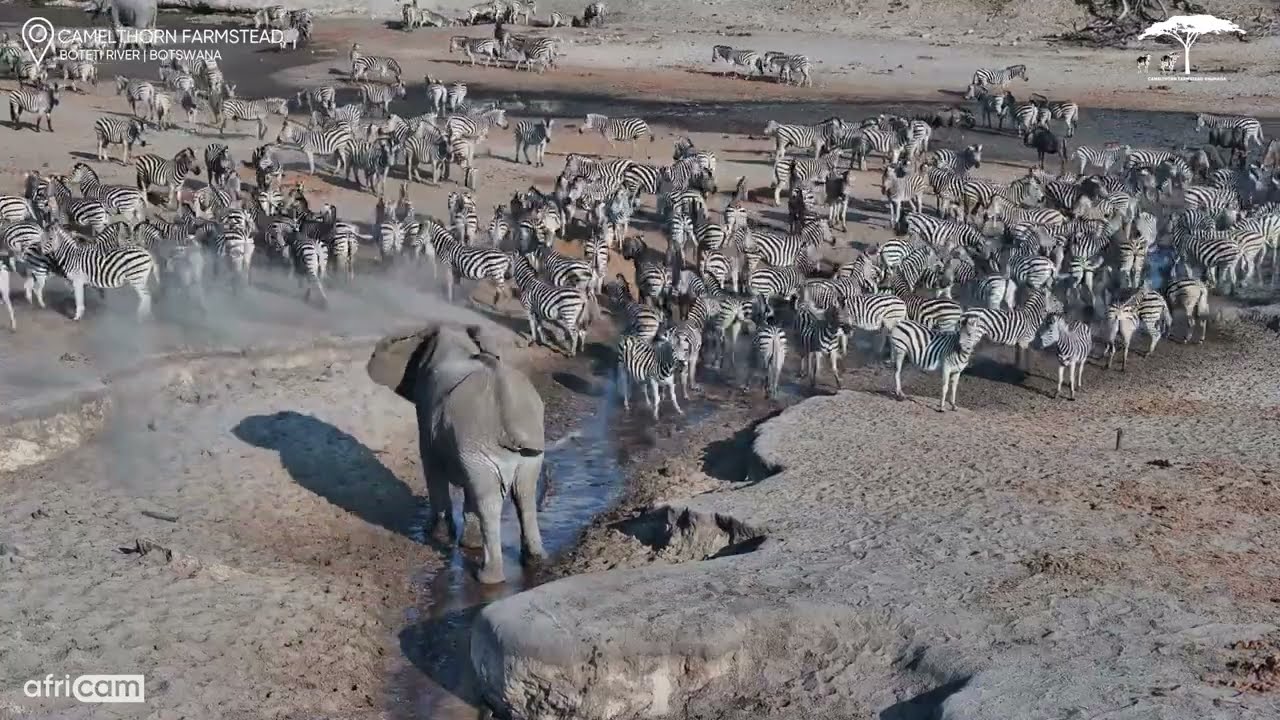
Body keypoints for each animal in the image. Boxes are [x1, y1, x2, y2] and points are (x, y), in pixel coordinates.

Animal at [367, 323, 545, 585]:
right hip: (522, 449)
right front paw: (467, 544)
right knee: (524, 493)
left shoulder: (427, 412)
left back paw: (487, 577)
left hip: (479, 444)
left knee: (489, 500)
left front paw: (437, 537)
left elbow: (431, 466)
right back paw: (535, 562)